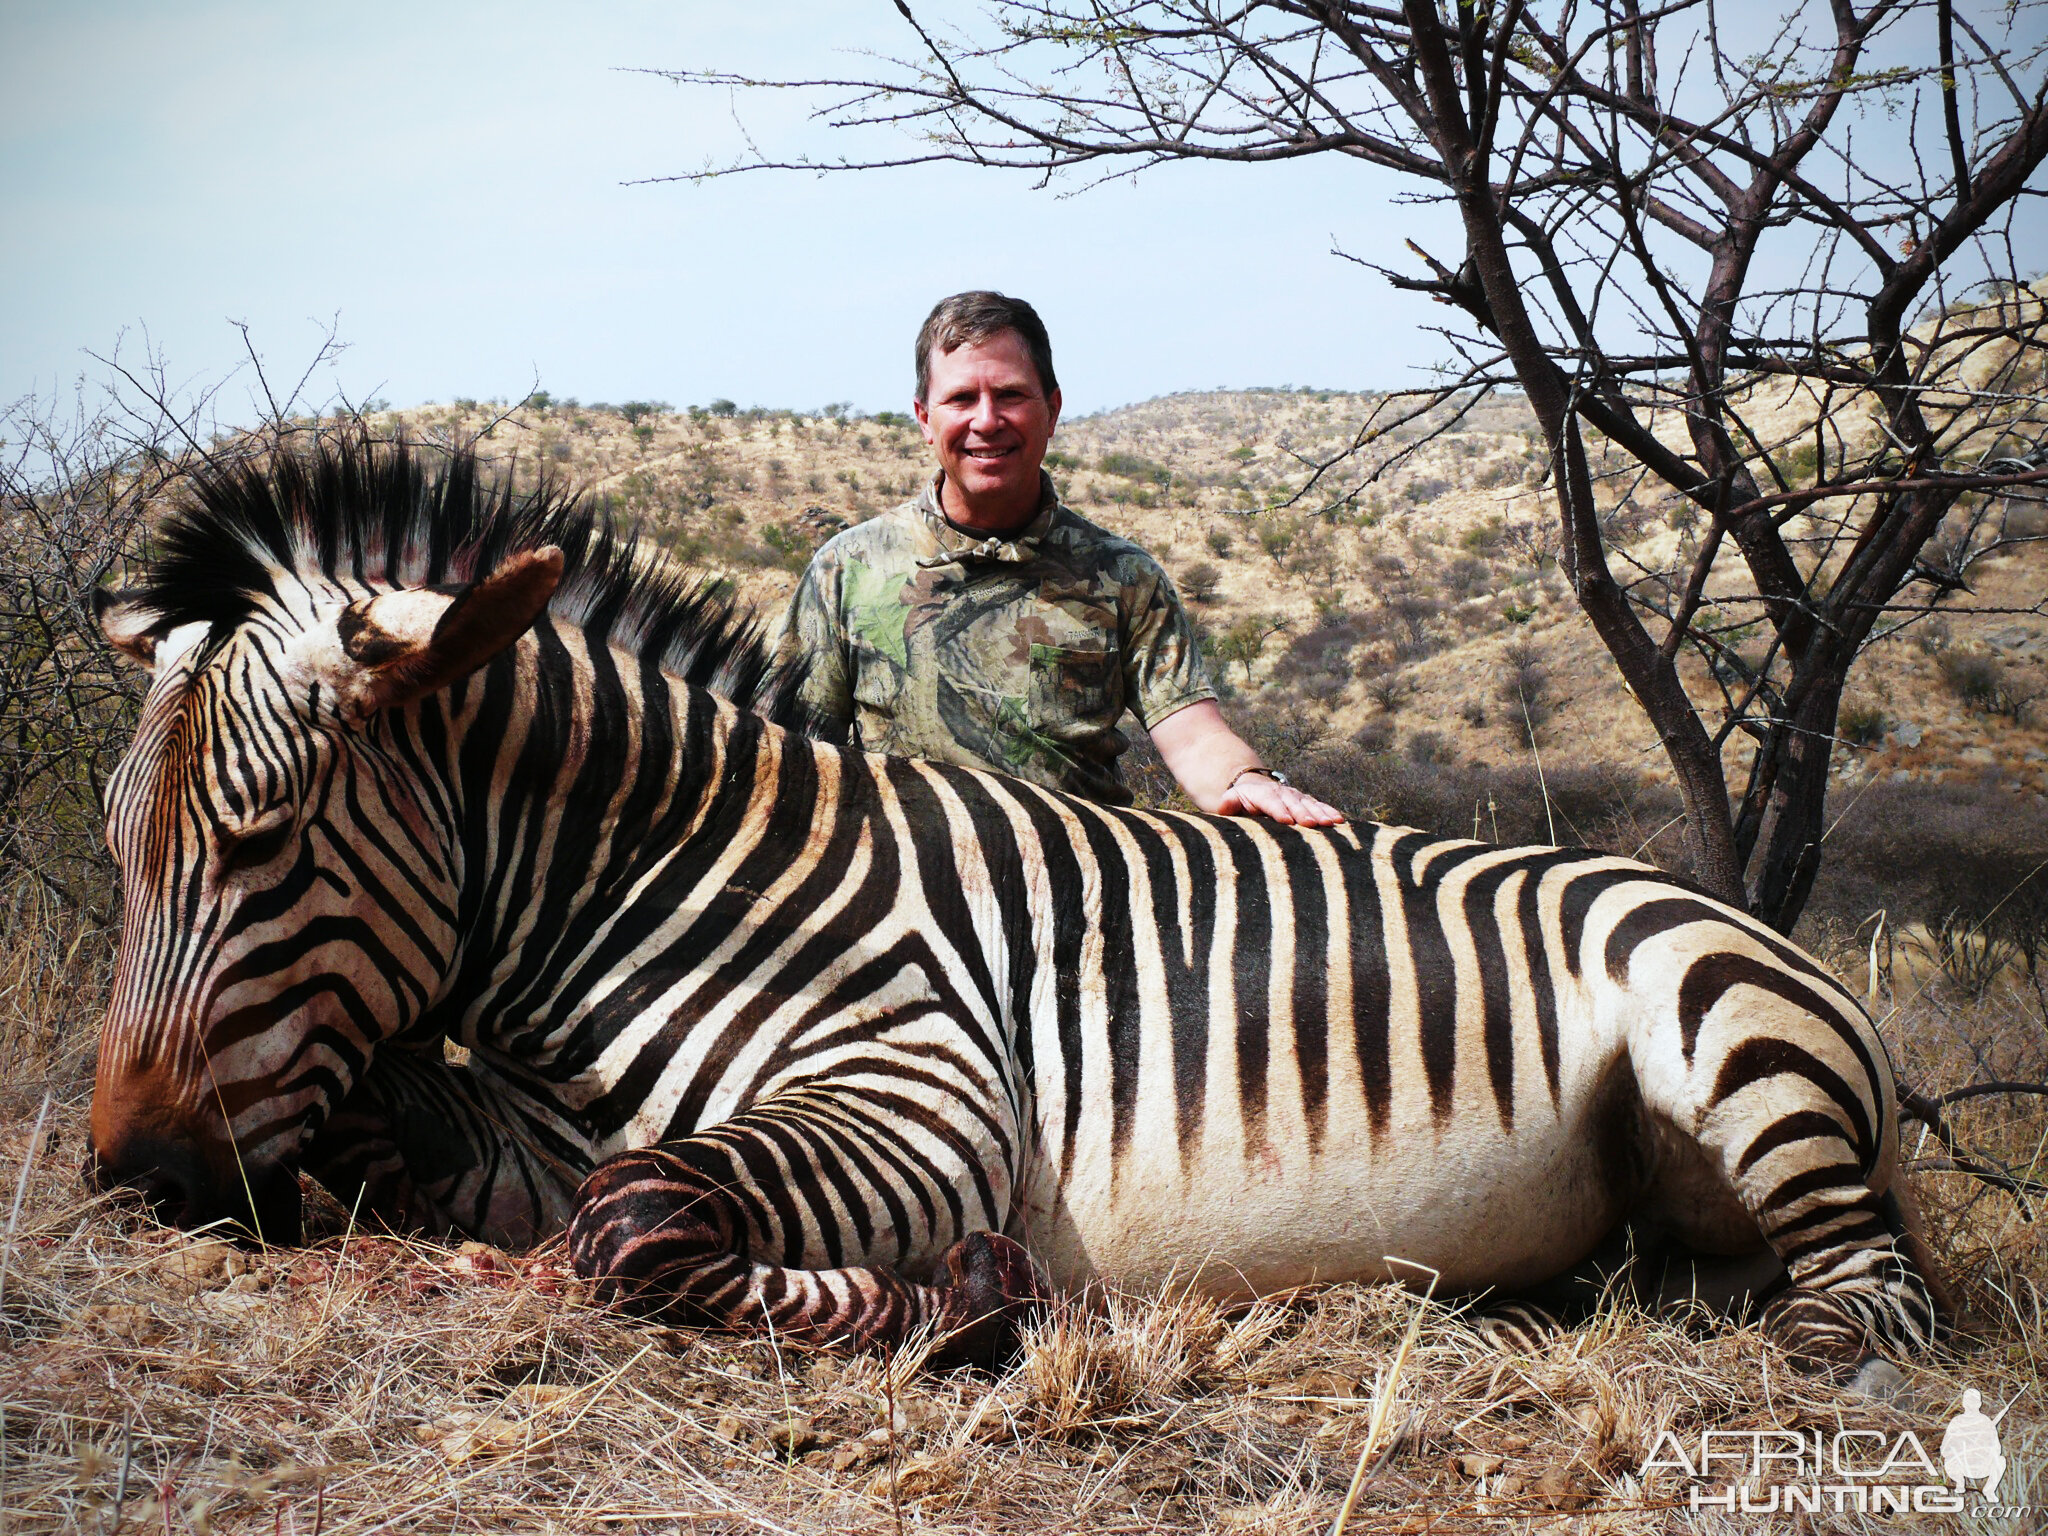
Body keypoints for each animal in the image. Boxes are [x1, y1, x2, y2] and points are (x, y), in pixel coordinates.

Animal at [96, 438, 1941, 1376]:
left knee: (1869, 1297)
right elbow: (413, 1135)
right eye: (120, 853)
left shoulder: (923, 1095)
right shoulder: (530, 1129)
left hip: (1725, 1045)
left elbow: (630, 1228)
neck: (670, 882)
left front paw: (968, 1296)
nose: (135, 1183)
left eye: (265, 844)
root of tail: (1769, 937)